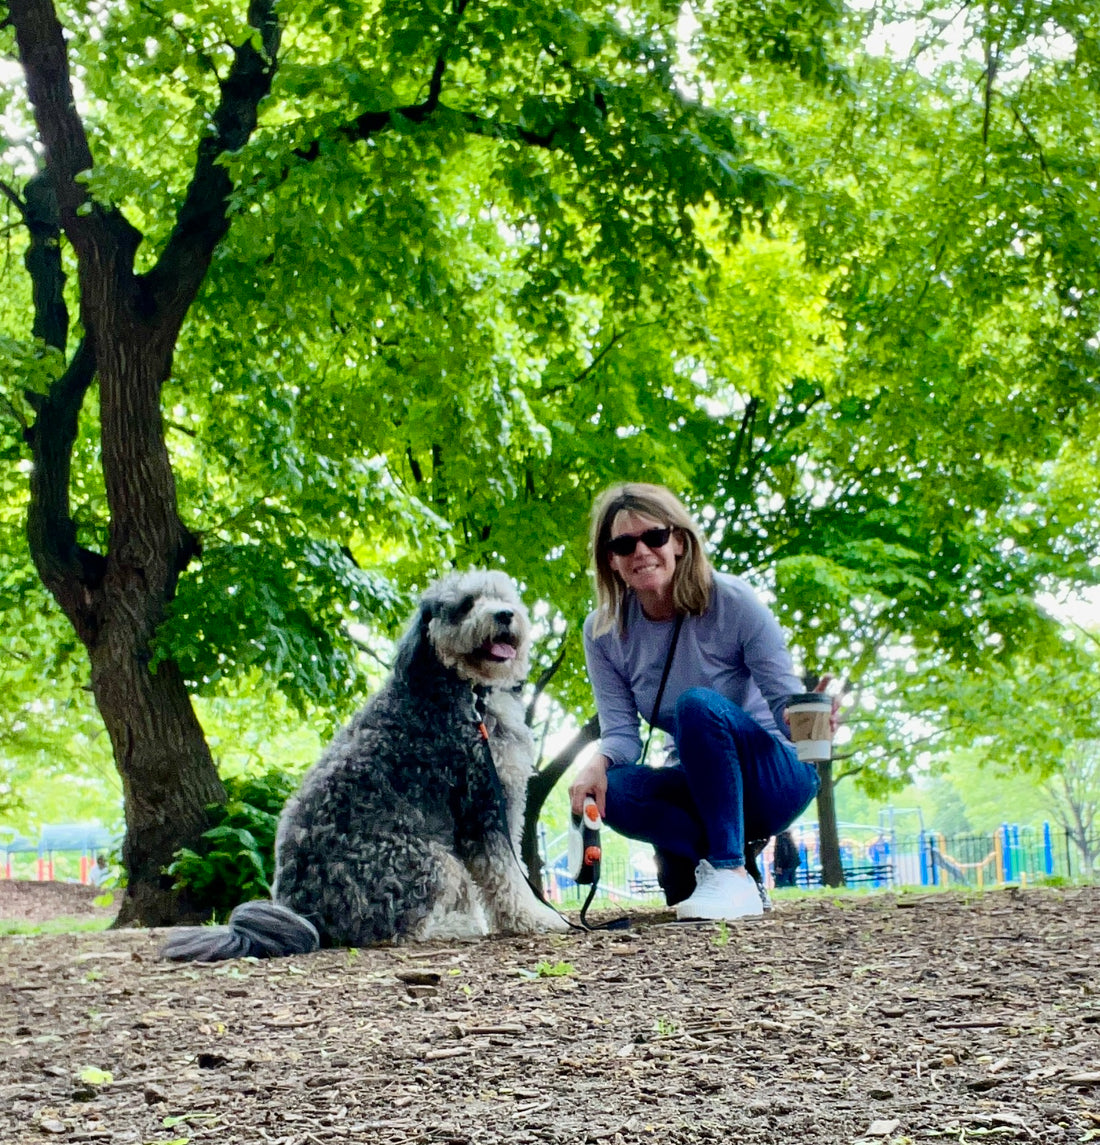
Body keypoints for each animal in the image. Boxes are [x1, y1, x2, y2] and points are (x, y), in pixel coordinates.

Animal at [162, 567, 567, 961]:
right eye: (466, 604)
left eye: (504, 597)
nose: (505, 615)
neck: (469, 693)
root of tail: (304, 912)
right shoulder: (483, 804)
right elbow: (508, 874)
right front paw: (532, 917)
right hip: (425, 856)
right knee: (402, 928)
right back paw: (455, 928)